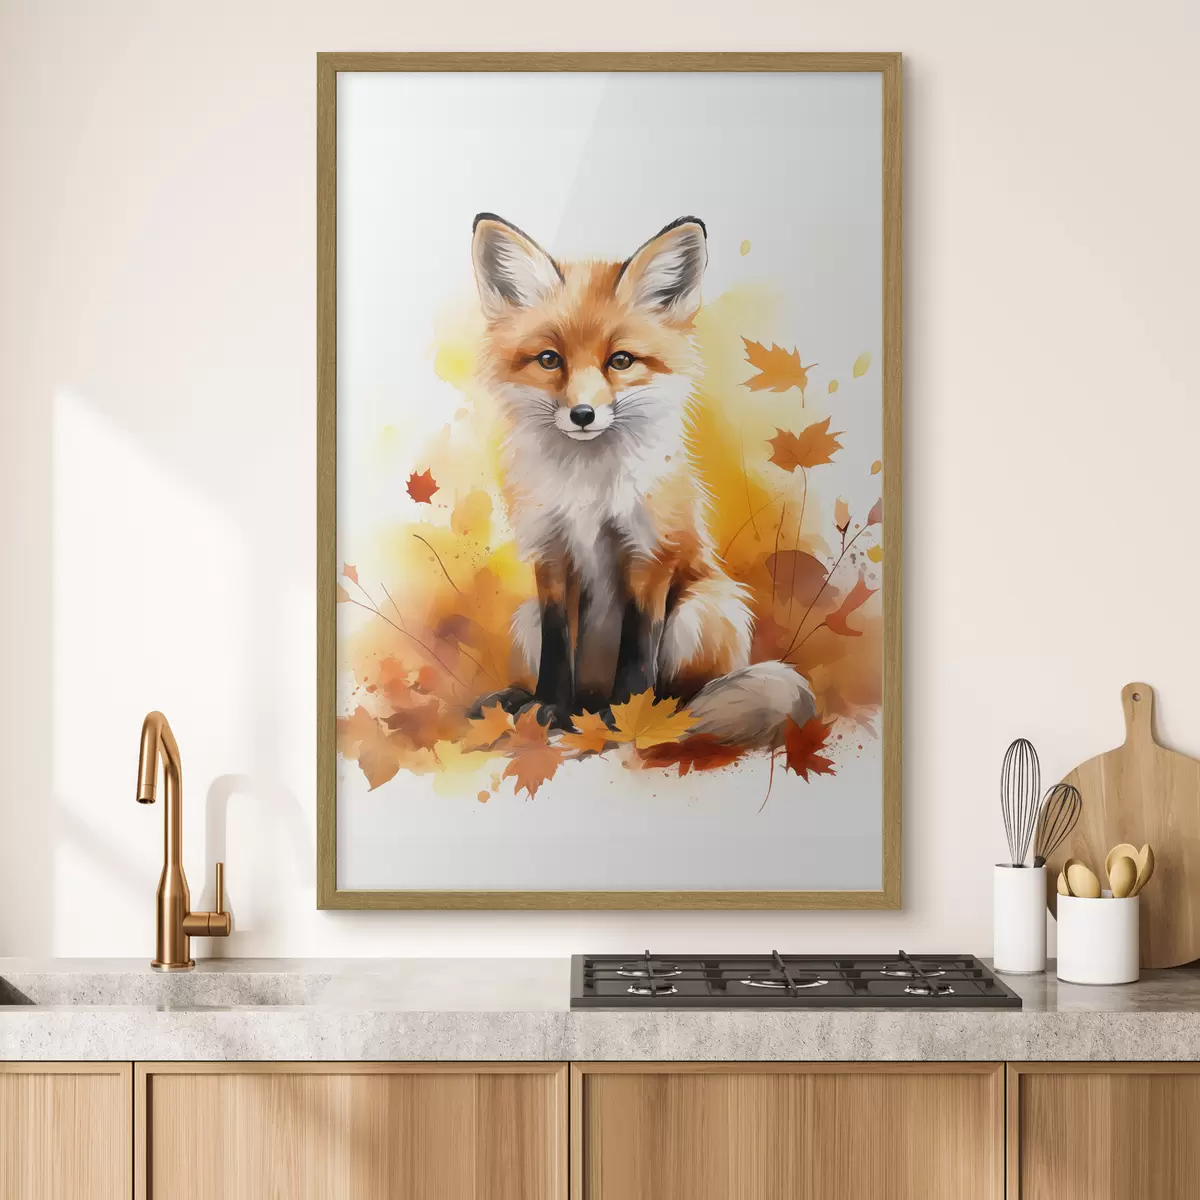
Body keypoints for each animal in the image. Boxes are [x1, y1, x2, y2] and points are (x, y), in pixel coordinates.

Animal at [468, 213, 816, 747]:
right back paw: (539, 705)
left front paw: (629, 719)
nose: (583, 415)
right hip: (523, 618)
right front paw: (546, 708)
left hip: (702, 611)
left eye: (621, 360)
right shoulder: (551, 553)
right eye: (549, 360)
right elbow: (556, 648)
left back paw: (653, 716)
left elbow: (637, 651)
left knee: (686, 692)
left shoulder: (650, 553)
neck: (588, 488)